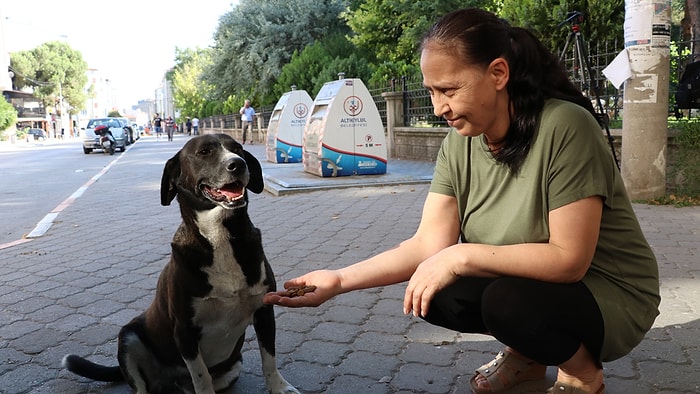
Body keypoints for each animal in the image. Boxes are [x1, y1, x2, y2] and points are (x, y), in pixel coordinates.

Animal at [62, 135, 298, 394]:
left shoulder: (264, 312)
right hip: (128, 337)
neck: (219, 238)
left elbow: (269, 359)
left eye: (238, 149)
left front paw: (278, 386)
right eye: (204, 151)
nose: (238, 164)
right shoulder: (184, 331)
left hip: (232, 368)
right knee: (142, 386)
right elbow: (202, 376)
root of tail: (168, 383)